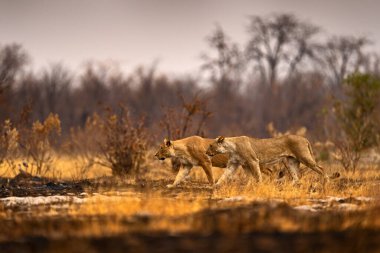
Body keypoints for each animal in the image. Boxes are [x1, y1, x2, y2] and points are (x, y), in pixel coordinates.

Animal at [205, 135, 336, 187]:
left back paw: (326, 182)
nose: (206, 152)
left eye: (211, 145)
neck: (231, 147)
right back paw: (286, 186)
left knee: (321, 168)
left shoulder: (253, 161)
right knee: (296, 178)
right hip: (289, 162)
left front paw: (259, 185)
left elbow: (257, 176)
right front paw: (215, 186)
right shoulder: (236, 164)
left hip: (304, 157)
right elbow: (225, 176)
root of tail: (304, 138)